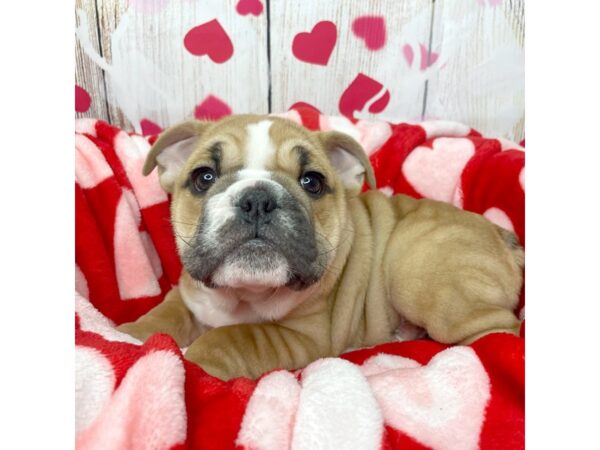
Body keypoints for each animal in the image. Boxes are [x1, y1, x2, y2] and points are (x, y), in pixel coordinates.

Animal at [116, 115, 520, 380]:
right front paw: (131, 334)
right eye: (204, 177)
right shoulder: (188, 293)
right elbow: (164, 315)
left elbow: (235, 336)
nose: (257, 199)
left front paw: (195, 361)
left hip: (417, 270)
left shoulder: (302, 336)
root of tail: (504, 237)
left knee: (499, 331)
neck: (241, 296)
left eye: (312, 181)